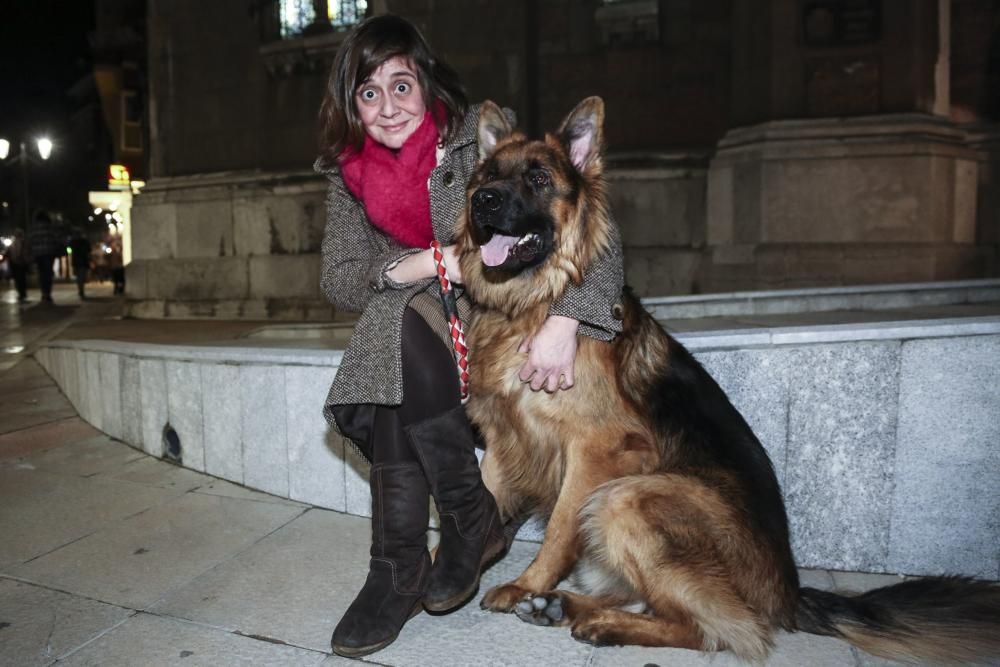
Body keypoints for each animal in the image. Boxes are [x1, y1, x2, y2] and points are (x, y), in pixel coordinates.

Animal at [458, 96, 1000, 664]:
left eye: (538, 178)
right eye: (488, 176)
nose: (482, 201)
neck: (531, 304)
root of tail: (788, 592)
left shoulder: (597, 451)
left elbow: (560, 528)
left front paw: (526, 583)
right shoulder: (503, 439)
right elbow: (481, 498)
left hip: (628, 497)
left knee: (723, 628)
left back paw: (600, 622)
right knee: (657, 601)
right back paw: (565, 606)